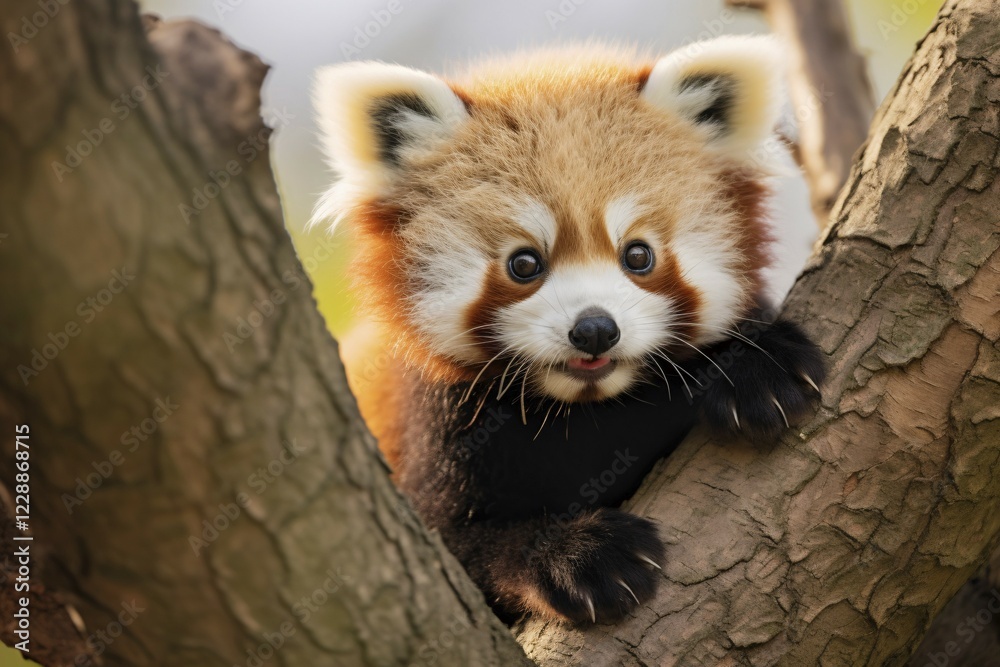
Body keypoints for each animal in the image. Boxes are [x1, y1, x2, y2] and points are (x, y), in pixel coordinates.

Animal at [312, 35, 825, 624]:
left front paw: (759, 367)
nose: (595, 330)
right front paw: (575, 554)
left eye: (638, 255)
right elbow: (459, 548)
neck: (583, 410)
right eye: (524, 264)